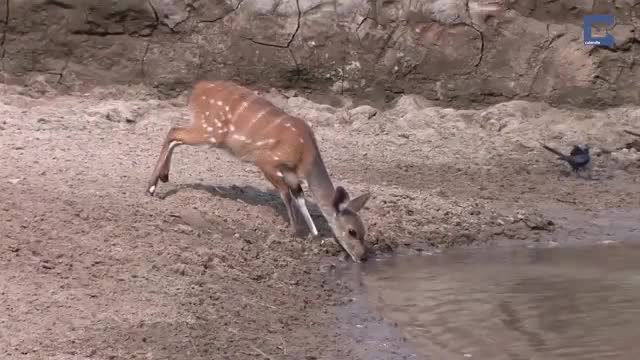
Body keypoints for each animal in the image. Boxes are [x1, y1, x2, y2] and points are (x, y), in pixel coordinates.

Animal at [147, 80, 372, 262]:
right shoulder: (266, 162)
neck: (305, 158)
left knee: (175, 136)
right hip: (211, 131)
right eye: (352, 231)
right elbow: (286, 195)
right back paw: (151, 187)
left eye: (364, 231)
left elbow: (299, 197)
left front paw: (314, 235)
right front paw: (295, 231)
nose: (362, 257)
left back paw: (163, 177)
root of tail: (197, 89)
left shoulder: (292, 177)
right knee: (173, 131)